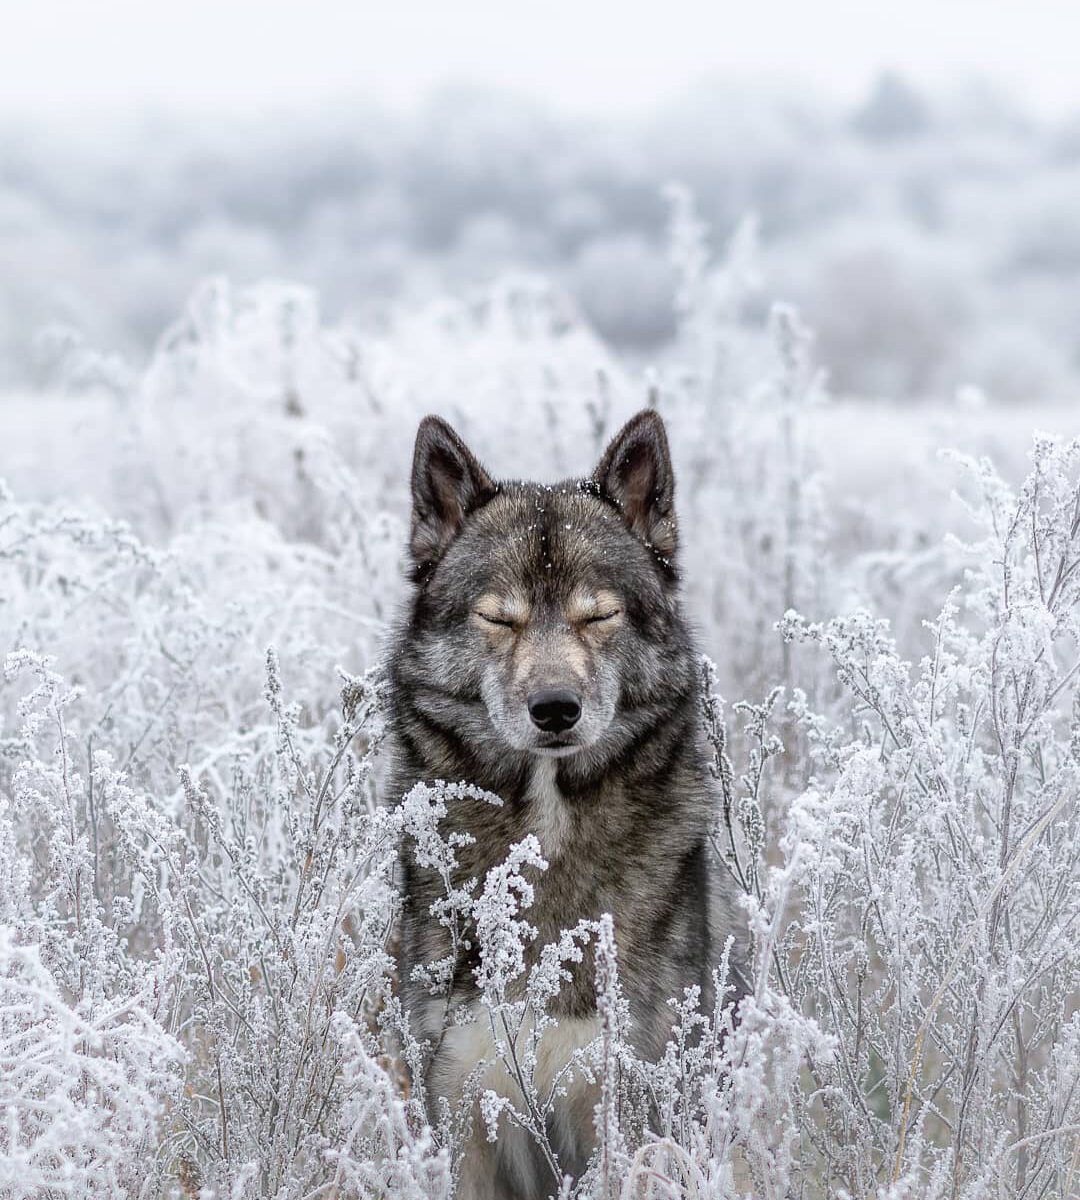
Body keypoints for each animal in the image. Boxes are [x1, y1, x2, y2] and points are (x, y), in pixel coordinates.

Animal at [391, 410, 748, 1190]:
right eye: (500, 619)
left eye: (599, 615)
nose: (555, 708)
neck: (547, 831)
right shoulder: (461, 1111)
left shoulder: (622, 1112)